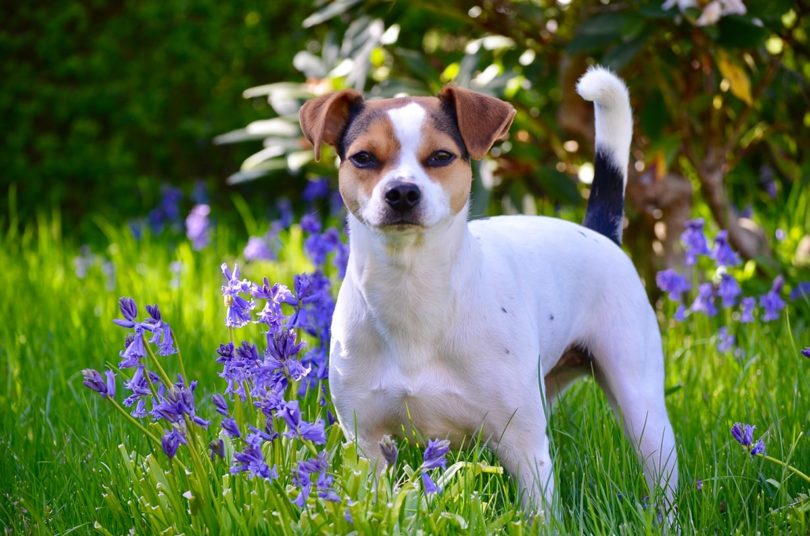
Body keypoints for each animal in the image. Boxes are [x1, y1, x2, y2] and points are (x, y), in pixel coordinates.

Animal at [296, 66, 676, 516]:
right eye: (363, 158)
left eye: (441, 156)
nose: (402, 192)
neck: (413, 291)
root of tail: (600, 234)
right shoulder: (367, 444)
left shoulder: (524, 447)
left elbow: (539, 515)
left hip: (641, 405)